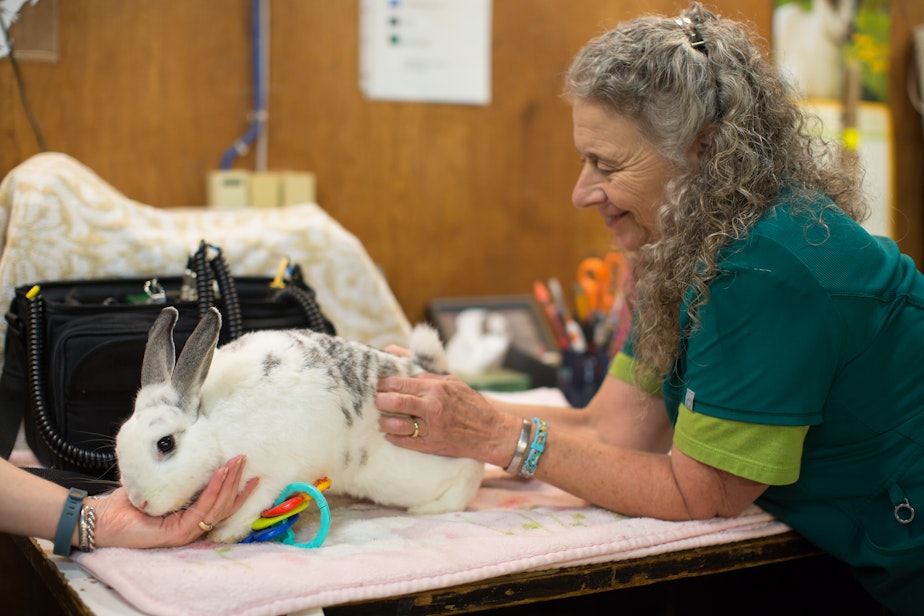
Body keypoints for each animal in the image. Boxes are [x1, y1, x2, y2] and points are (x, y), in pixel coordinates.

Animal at [113, 306, 484, 540]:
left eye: (166, 443)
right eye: (119, 441)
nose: (139, 503)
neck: (213, 423)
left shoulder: (275, 472)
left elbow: (253, 506)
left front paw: (224, 534)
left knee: (470, 475)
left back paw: (428, 508)